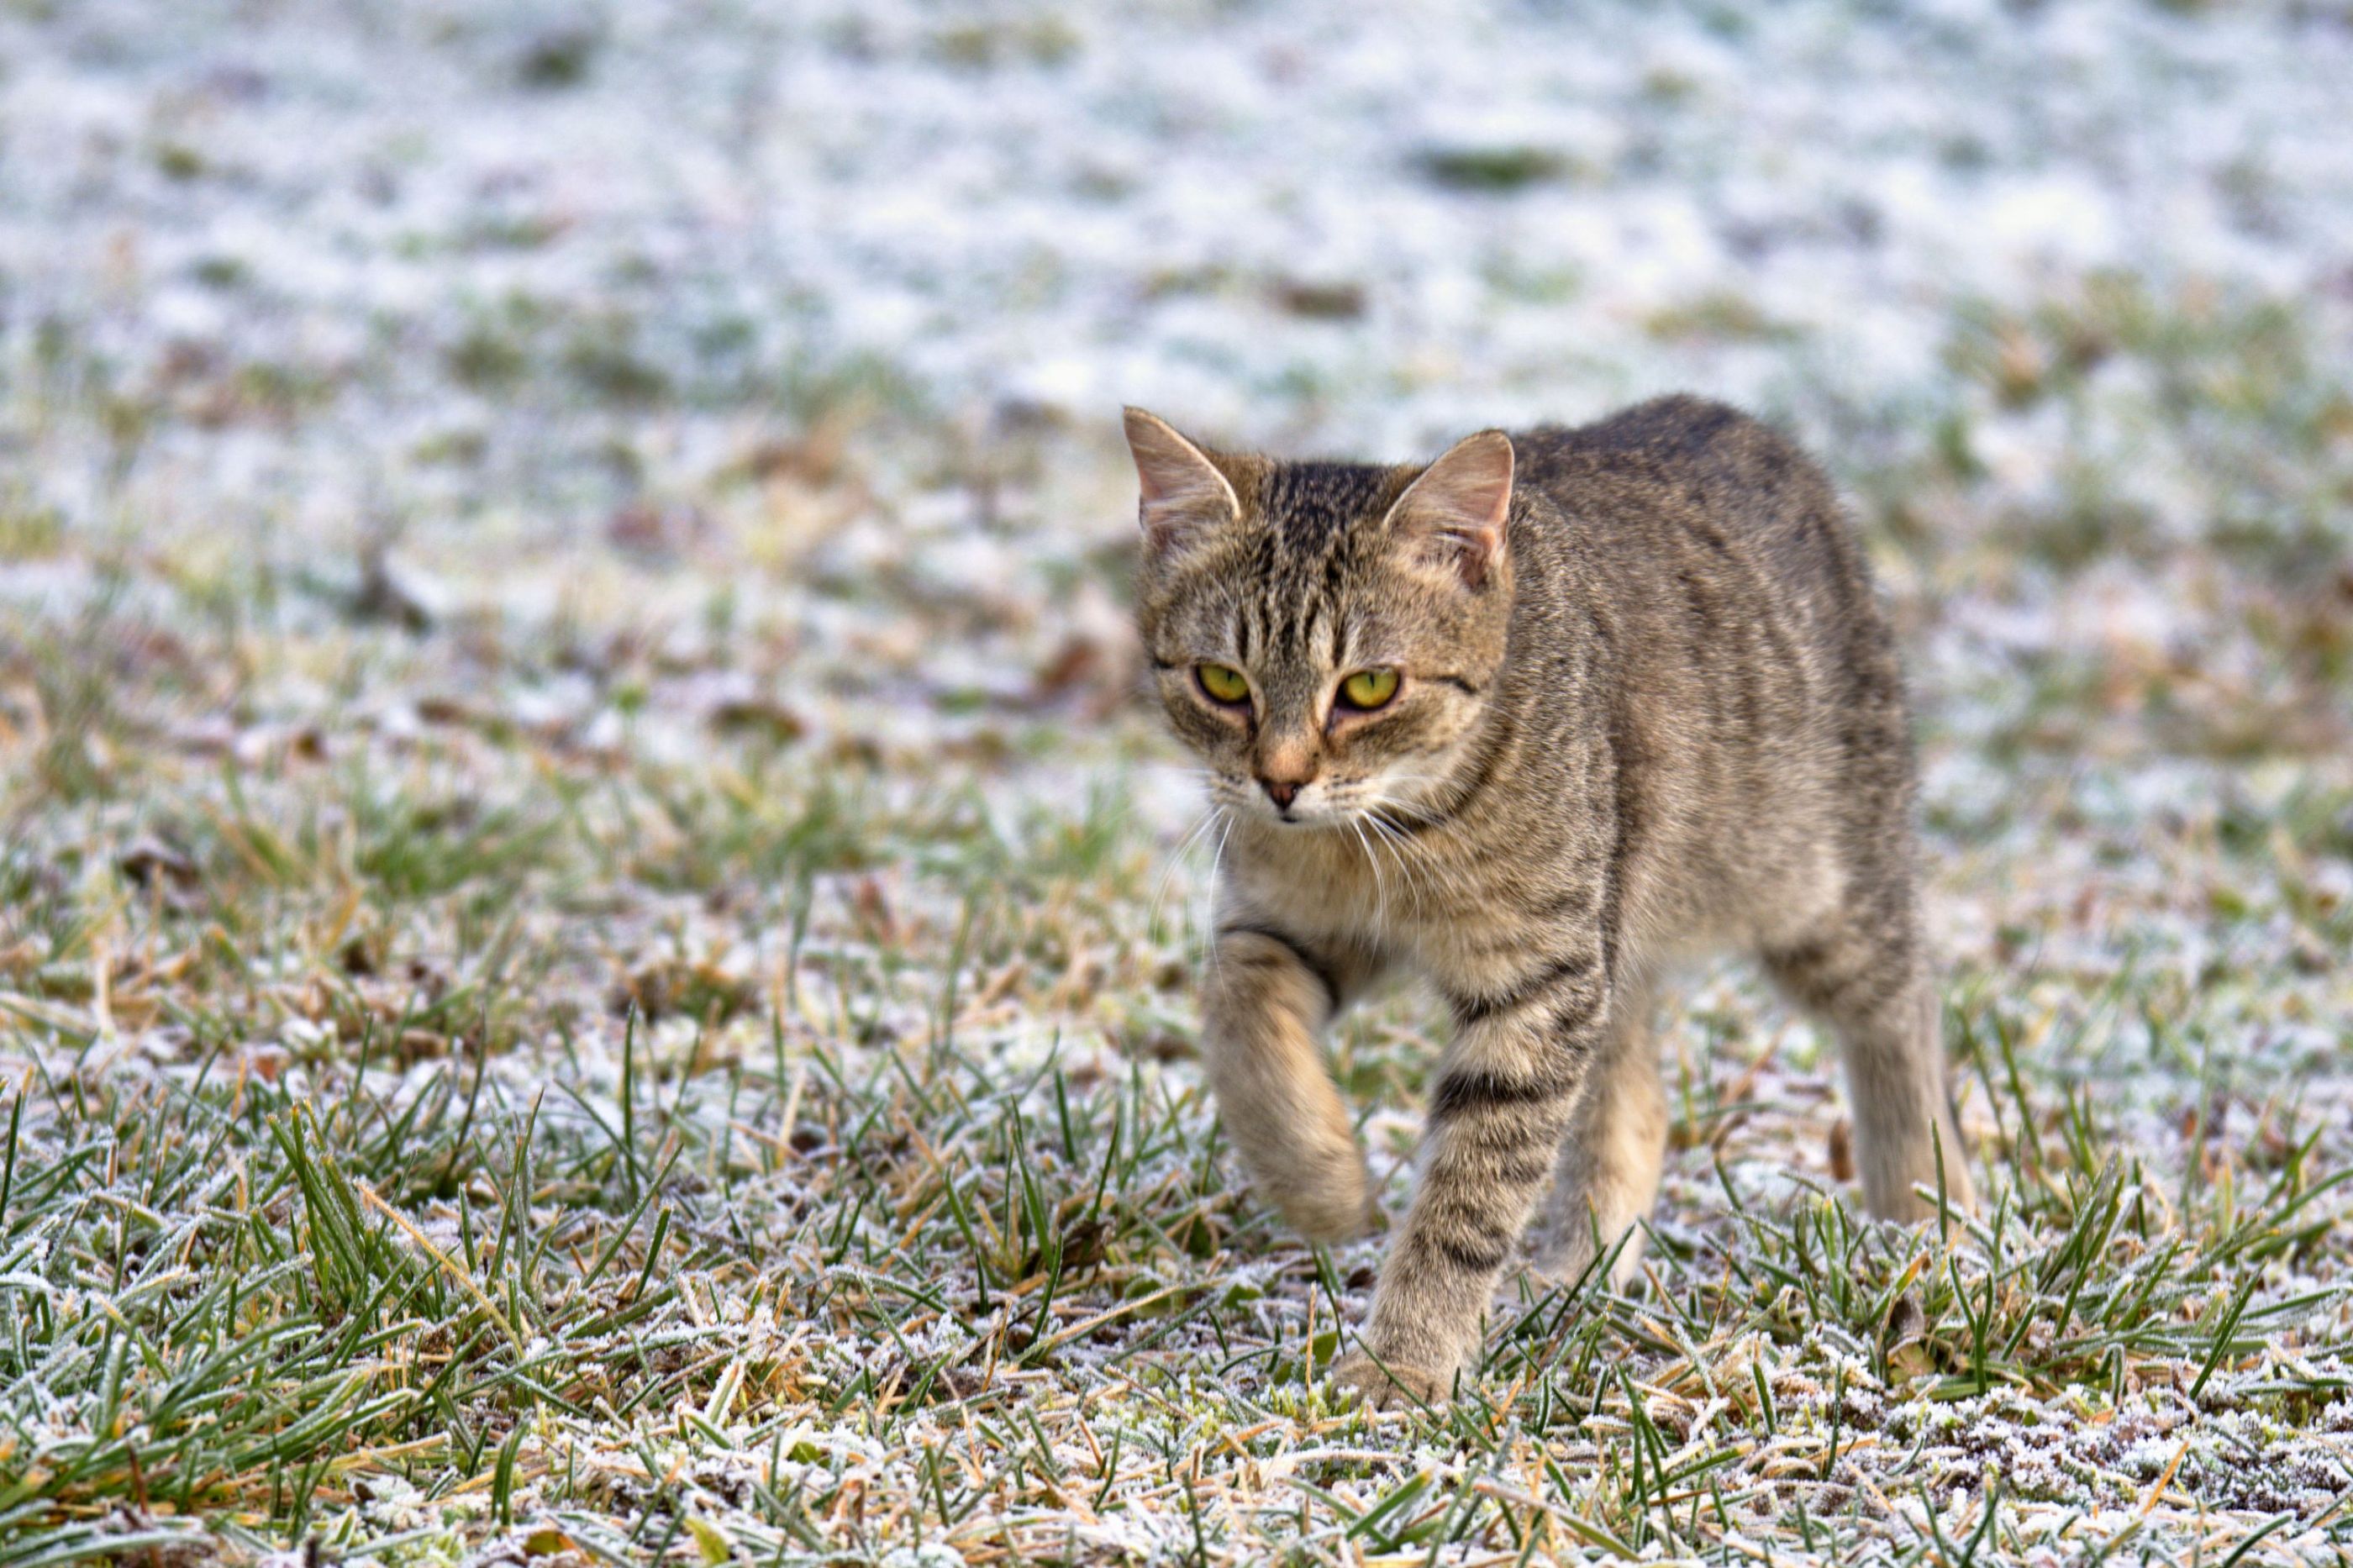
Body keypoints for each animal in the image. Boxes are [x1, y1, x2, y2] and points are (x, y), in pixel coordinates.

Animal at [1129, 392, 1977, 1402]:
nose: (1281, 783)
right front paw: (1319, 1178)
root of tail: (1738, 421)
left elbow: (1467, 1201)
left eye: (1369, 687)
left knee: (1905, 1006)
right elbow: (1241, 1022)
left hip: (1816, 891)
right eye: (1223, 681)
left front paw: (1405, 1360)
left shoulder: (1538, 984)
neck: (1377, 845)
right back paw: (1576, 1277)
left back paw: (1926, 1216)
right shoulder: (1284, 927)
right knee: (1636, 1109)